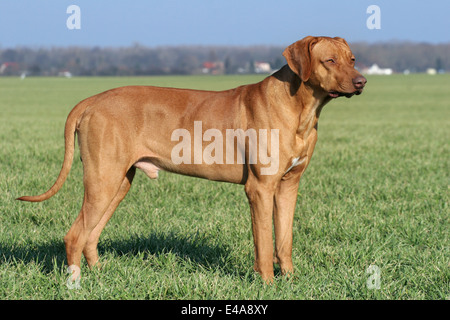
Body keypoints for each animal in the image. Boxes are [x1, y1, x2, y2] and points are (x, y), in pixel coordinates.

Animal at [19, 36, 368, 282]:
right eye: (329, 60)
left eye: (352, 59)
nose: (361, 81)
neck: (300, 110)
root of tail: (91, 100)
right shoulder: (260, 189)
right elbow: (264, 243)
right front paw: (268, 283)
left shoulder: (288, 186)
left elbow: (284, 239)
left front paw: (291, 281)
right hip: (103, 180)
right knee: (74, 235)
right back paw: (75, 283)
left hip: (117, 183)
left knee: (90, 235)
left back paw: (100, 275)